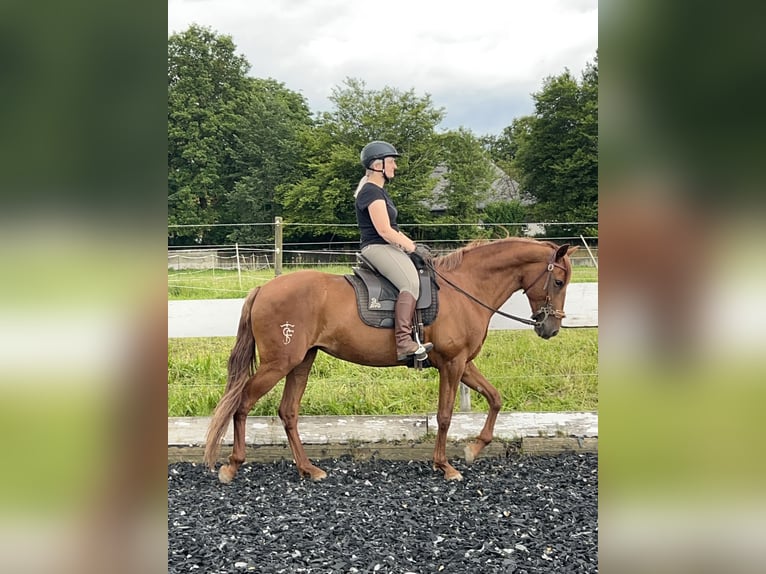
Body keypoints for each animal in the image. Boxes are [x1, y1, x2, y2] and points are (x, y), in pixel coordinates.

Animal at [204, 236, 576, 484]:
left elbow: (496, 398)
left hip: (301, 362)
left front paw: (474, 448)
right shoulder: (452, 364)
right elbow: (444, 416)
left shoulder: (462, 363)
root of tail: (263, 289)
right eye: (558, 281)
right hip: (278, 363)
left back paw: (308, 468)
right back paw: (232, 465)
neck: (465, 289)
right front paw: (446, 466)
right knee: (241, 405)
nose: (551, 328)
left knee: (288, 412)